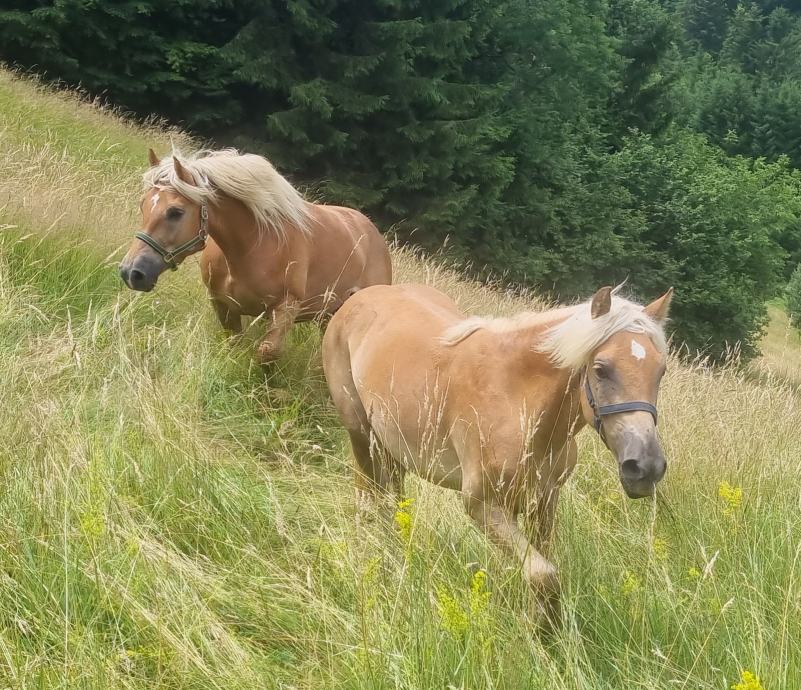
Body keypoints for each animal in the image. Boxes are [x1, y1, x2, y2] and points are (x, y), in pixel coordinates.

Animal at [119, 146, 390, 360]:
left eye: (175, 212)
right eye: (143, 204)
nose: (131, 272)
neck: (251, 247)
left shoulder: (285, 310)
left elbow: (266, 354)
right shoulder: (223, 305)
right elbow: (234, 344)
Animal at [322, 280, 672, 612]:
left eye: (661, 370)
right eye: (600, 368)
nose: (645, 467)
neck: (517, 398)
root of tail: (360, 297)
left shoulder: (543, 503)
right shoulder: (483, 506)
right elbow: (544, 576)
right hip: (361, 434)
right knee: (368, 496)